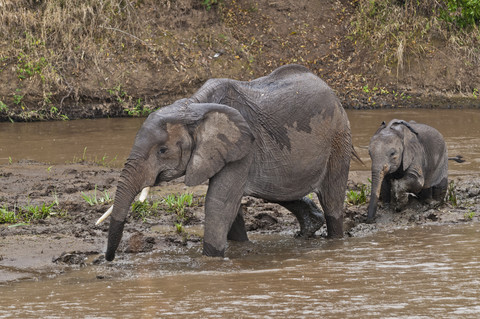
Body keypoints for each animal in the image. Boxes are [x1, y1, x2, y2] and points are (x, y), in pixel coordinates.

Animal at [101, 63, 354, 262]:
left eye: (162, 151)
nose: (109, 258)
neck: (193, 106)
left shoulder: (244, 147)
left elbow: (219, 203)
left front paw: (210, 262)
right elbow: (230, 205)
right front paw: (240, 248)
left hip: (339, 138)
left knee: (331, 200)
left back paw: (334, 240)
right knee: (280, 190)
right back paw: (308, 230)